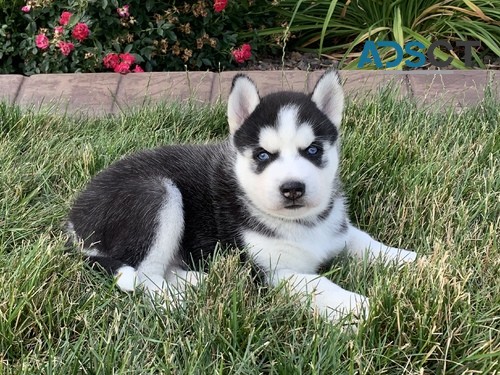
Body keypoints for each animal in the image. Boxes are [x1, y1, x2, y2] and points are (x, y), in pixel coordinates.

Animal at [68, 70, 416, 320]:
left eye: (313, 150)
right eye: (263, 155)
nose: (292, 188)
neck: (300, 224)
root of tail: (73, 220)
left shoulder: (336, 231)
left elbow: (368, 243)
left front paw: (414, 261)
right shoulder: (270, 272)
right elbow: (315, 283)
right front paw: (355, 305)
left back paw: (196, 281)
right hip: (158, 194)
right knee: (144, 277)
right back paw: (177, 298)